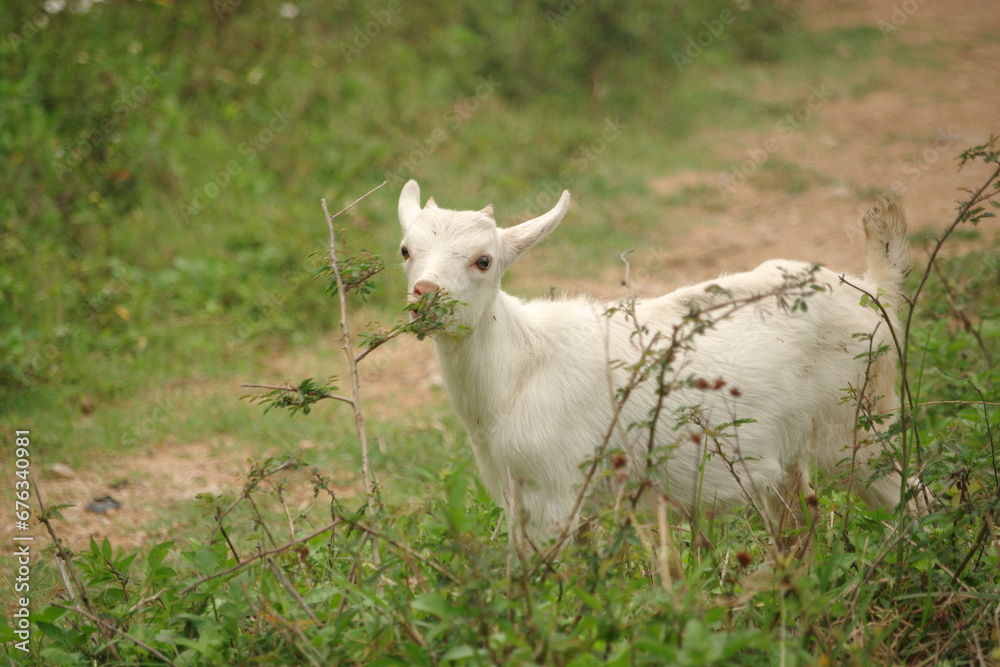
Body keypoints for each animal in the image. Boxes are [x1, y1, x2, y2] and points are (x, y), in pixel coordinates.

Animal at [398, 181, 920, 536]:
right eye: (405, 250)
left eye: (484, 260)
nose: (424, 294)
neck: (519, 363)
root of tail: (875, 292)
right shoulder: (517, 496)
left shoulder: (554, 493)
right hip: (793, 455)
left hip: (860, 426)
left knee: (911, 496)